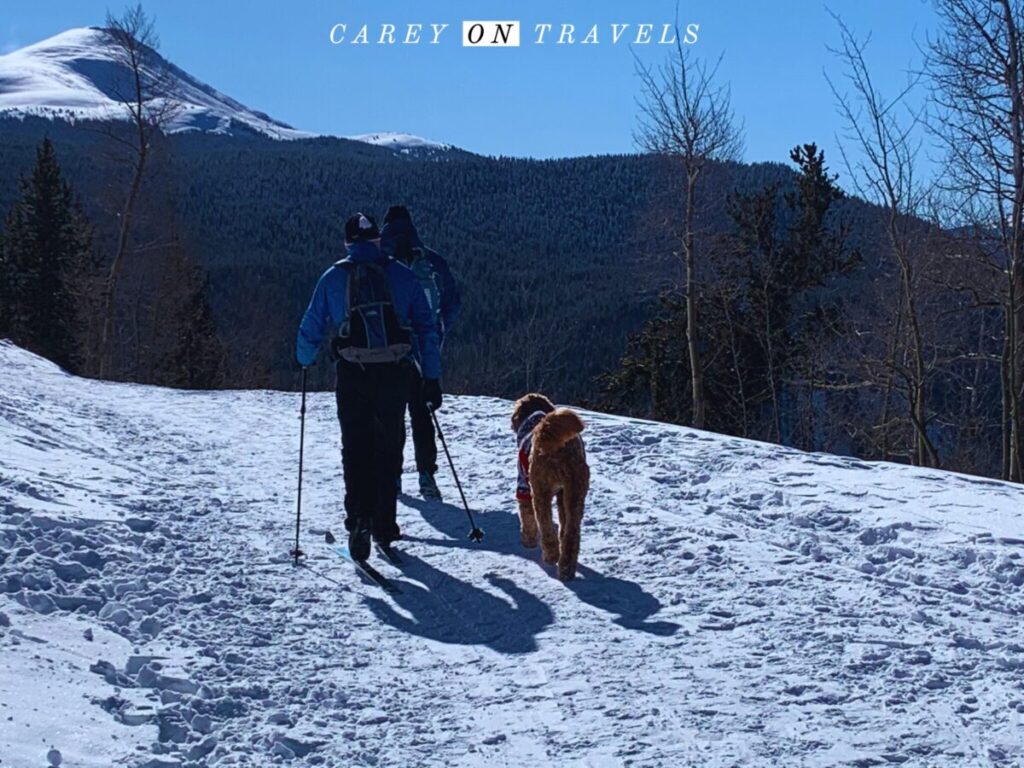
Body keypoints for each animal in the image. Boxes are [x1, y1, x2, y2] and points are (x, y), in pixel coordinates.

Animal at [507, 393, 589, 581]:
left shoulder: (524, 486)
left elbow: (527, 516)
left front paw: (528, 541)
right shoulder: (562, 495)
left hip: (540, 489)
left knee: (545, 526)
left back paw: (551, 556)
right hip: (576, 491)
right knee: (572, 533)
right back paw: (566, 570)